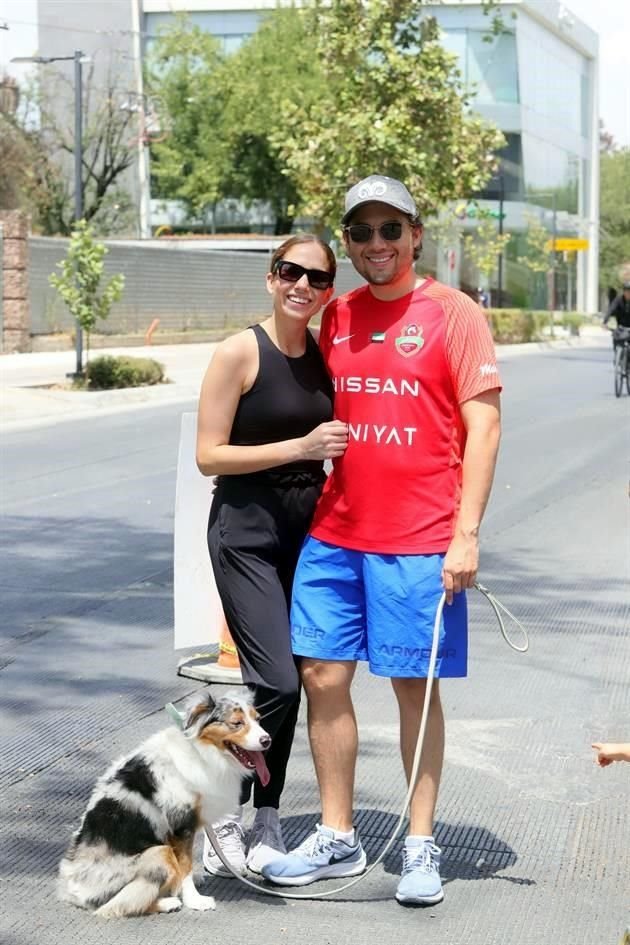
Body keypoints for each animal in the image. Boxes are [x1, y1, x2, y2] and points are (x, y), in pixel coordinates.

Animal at [56, 688, 270, 920]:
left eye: (258, 719)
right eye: (237, 723)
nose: (267, 740)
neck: (200, 751)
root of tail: (74, 892)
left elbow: (185, 864)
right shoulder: (181, 827)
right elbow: (184, 867)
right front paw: (194, 900)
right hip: (159, 852)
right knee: (117, 905)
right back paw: (168, 902)